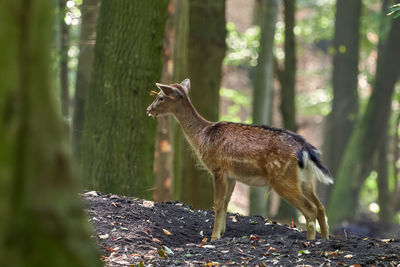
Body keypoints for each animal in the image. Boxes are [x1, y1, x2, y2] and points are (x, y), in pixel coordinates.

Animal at [147, 79, 334, 241]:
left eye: (161, 97)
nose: (149, 109)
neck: (202, 136)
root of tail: (305, 148)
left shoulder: (217, 169)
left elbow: (218, 203)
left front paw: (213, 237)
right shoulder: (232, 176)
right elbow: (226, 203)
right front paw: (222, 233)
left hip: (282, 177)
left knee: (310, 209)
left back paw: (310, 241)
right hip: (306, 180)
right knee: (320, 207)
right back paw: (325, 239)